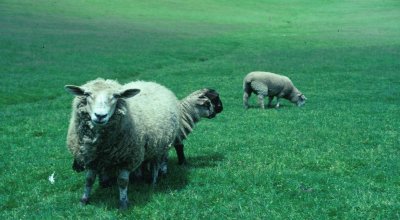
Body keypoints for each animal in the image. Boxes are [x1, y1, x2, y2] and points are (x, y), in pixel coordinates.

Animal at [65, 78, 180, 209]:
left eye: (116, 96)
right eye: (87, 94)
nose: (100, 116)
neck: (101, 146)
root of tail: (150, 82)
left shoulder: (127, 159)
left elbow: (123, 182)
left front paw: (123, 203)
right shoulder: (91, 158)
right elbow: (89, 180)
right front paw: (84, 199)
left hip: (160, 146)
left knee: (156, 164)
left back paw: (154, 181)